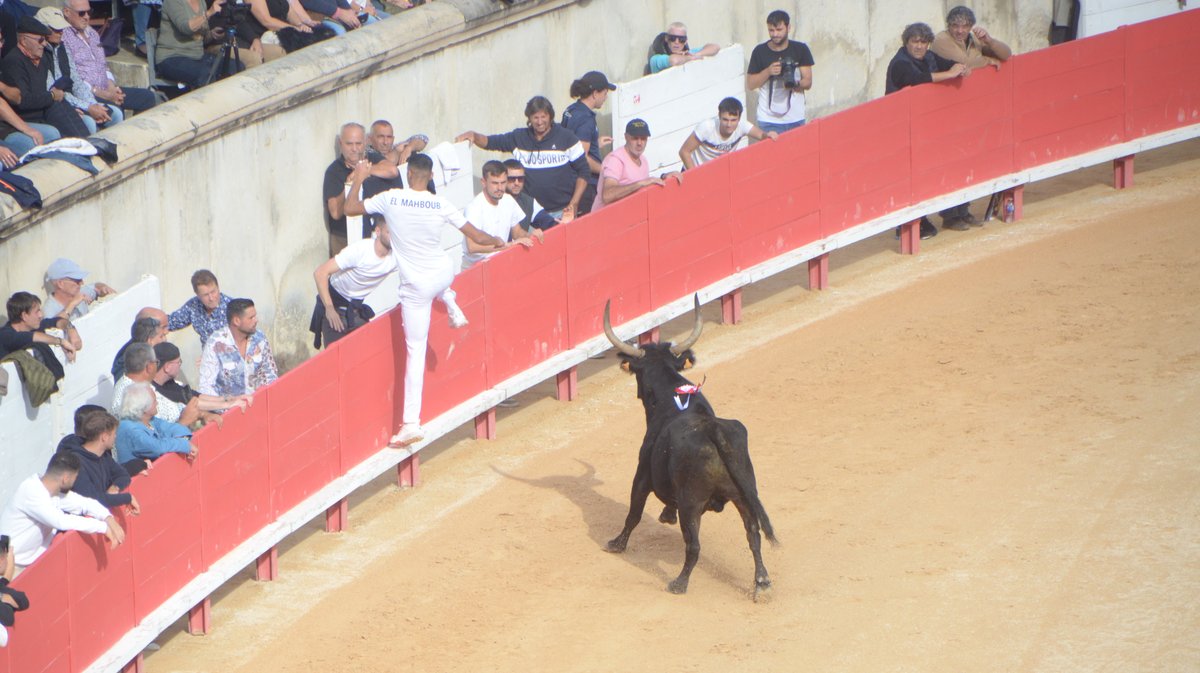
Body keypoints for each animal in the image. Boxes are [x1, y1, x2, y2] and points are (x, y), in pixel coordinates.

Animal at [600, 296, 777, 595]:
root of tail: (713, 431)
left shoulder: (642, 474)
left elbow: (634, 513)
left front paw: (616, 544)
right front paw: (664, 515)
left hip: (691, 504)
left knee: (693, 545)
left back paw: (679, 583)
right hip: (744, 494)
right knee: (753, 535)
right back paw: (762, 583)